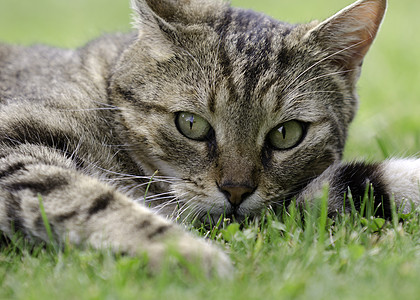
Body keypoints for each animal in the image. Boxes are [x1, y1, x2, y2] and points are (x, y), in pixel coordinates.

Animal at [0, 0, 420, 274]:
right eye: (191, 124)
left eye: (286, 134)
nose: (236, 191)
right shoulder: (12, 148)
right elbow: (90, 200)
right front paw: (190, 255)